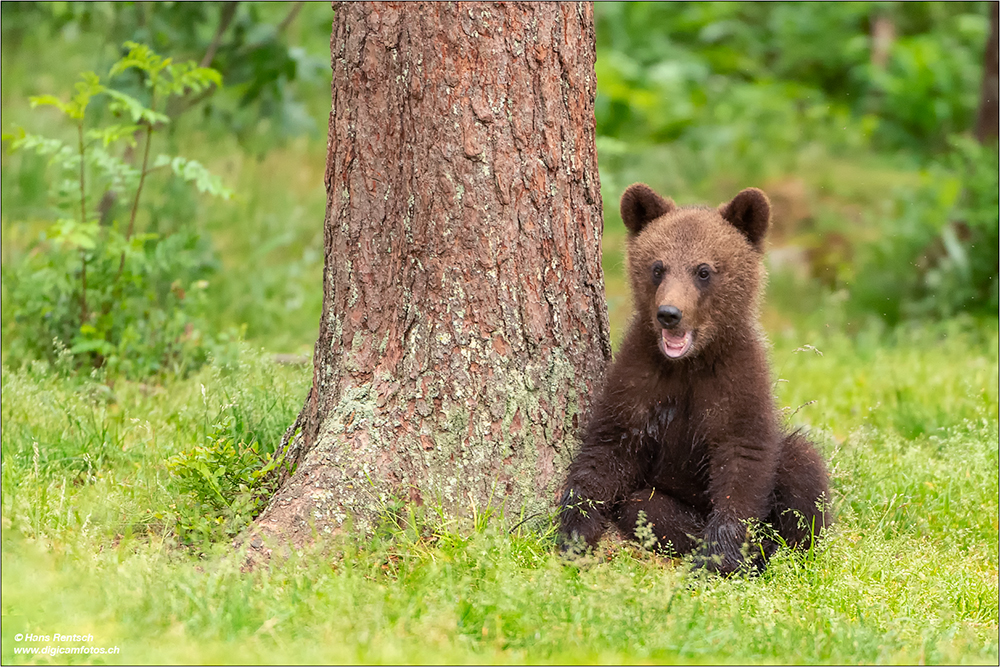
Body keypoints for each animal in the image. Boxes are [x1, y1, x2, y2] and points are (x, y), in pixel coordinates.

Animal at [560, 183, 832, 576]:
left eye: (703, 270)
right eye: (657, 267)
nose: (669, 313)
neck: (690, 363)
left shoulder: (737, 380)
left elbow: (743, 459)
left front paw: (722, 557)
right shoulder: (639, 378)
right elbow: (607, 447)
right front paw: (574, 531)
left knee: (803, 464)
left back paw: (781, 548)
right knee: (646, 506)